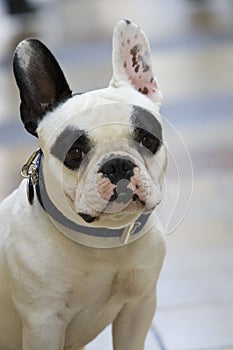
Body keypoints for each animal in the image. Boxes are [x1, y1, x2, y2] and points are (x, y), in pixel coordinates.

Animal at [0, 19, 167, 350]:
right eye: (74, 152)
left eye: (147, 139)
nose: (117, 164)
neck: (103, 241)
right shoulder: (43, 325)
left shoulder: (139, 308)